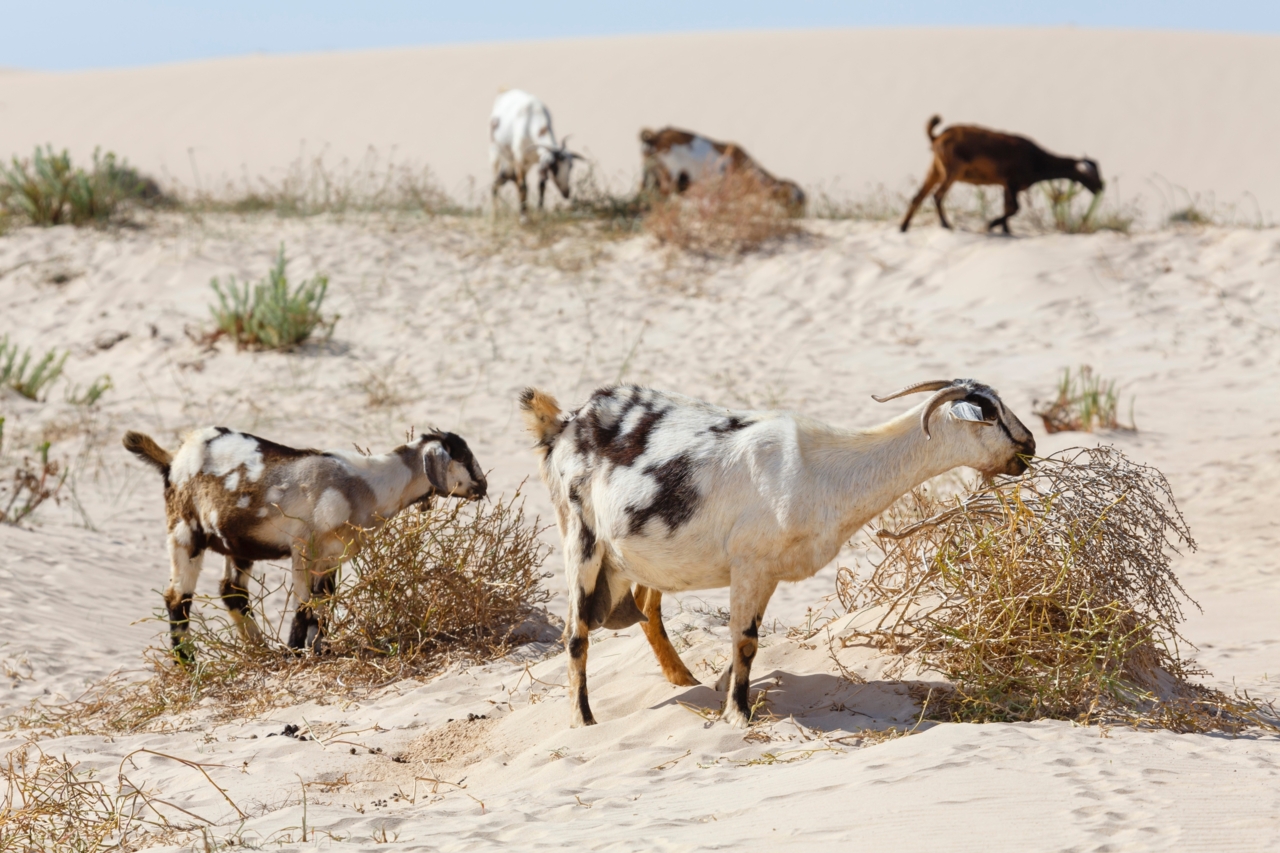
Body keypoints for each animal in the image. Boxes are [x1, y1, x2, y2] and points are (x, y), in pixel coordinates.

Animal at [123, 427, 487, 663]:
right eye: (464, 457)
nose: (483, 486)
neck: (365, 485)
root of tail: (173, 459)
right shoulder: (304, 549)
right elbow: (304, 606)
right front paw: (295, 654)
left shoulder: (332, 557)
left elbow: (322, 606)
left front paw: (317, 651)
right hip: (186, 533)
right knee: (177, 598)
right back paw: (188, 665)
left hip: (237, 546)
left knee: (232, 592)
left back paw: (260, 652)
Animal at [521, 380, 1034, 728]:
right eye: (989, 413)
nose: (1029, 445)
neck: (823, 468)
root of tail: (564, 424)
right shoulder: (751, 562)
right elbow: (745, 639)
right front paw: (737, 714)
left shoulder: (767, 573)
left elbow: (744, 640)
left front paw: (721, 691)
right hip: (582, 540)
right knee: (576, 635)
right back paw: (584, 720)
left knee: (647, 609)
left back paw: (683, 680)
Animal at [900, 115, 1104, 234]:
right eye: (1091, 176)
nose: (1101, 187)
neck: (1037, 159)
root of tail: (937, 137)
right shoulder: (1012, 181)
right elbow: (1014, 208)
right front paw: (992, 225)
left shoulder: (1006, 185)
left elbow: (1007, 207)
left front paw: (1007, 231)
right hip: (952, 169)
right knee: (937, 195)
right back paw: (945, 225)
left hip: (935, 168)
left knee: (918, 196)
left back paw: (903, 227)